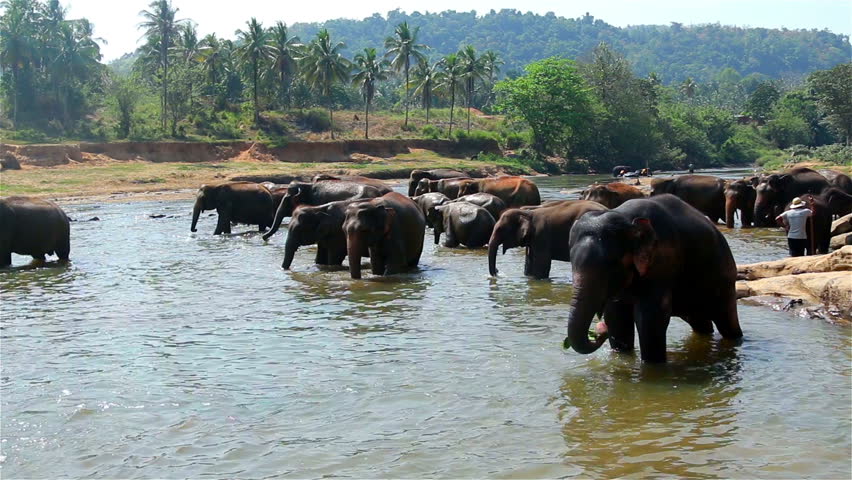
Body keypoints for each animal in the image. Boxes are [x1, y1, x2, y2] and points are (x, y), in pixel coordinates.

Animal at [565, 194, 743, 363]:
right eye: (572, 261)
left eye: (611, 263)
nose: (600, 330)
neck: (626, 218)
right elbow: (616, 315)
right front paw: (621, 355)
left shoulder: (663, 260)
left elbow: (650, 315)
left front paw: (651, 366)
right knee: (700, 322)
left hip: (724, 281)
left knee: (727, 322)